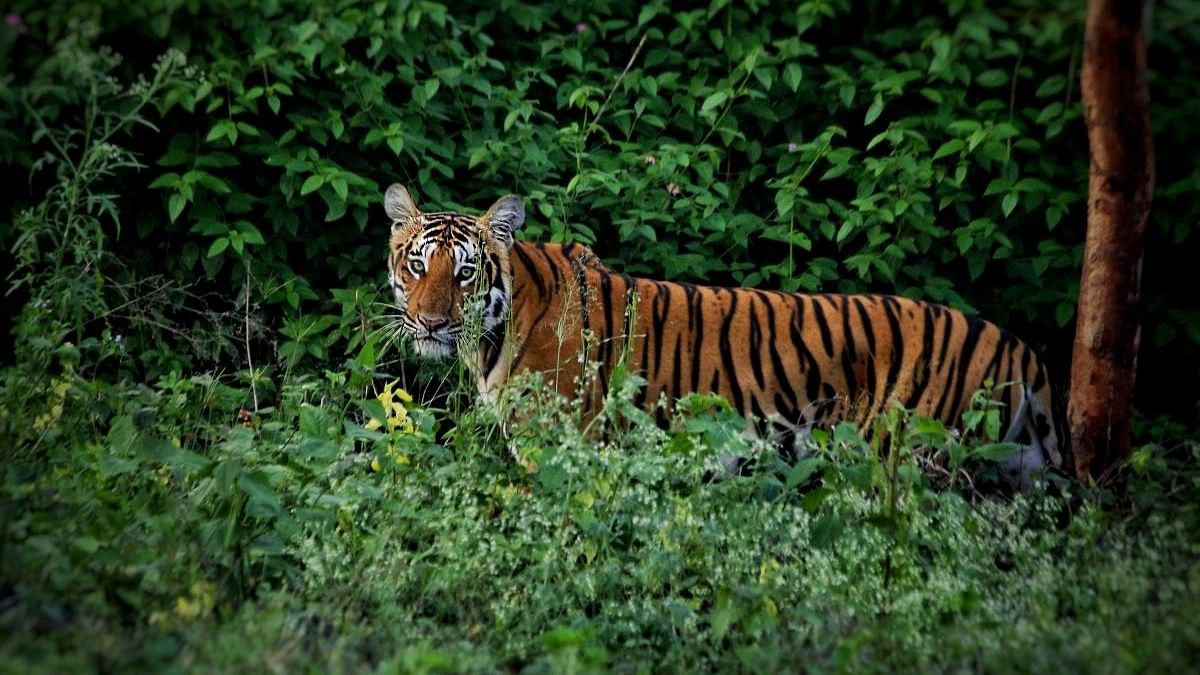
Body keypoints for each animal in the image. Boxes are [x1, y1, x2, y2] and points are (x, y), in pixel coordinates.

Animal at [384, 182, 1070, 487]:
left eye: (464, 273)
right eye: (417, 266)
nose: (431, 322)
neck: (493, 334)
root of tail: (1016, 344)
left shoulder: (561, 448)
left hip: (902, 461)